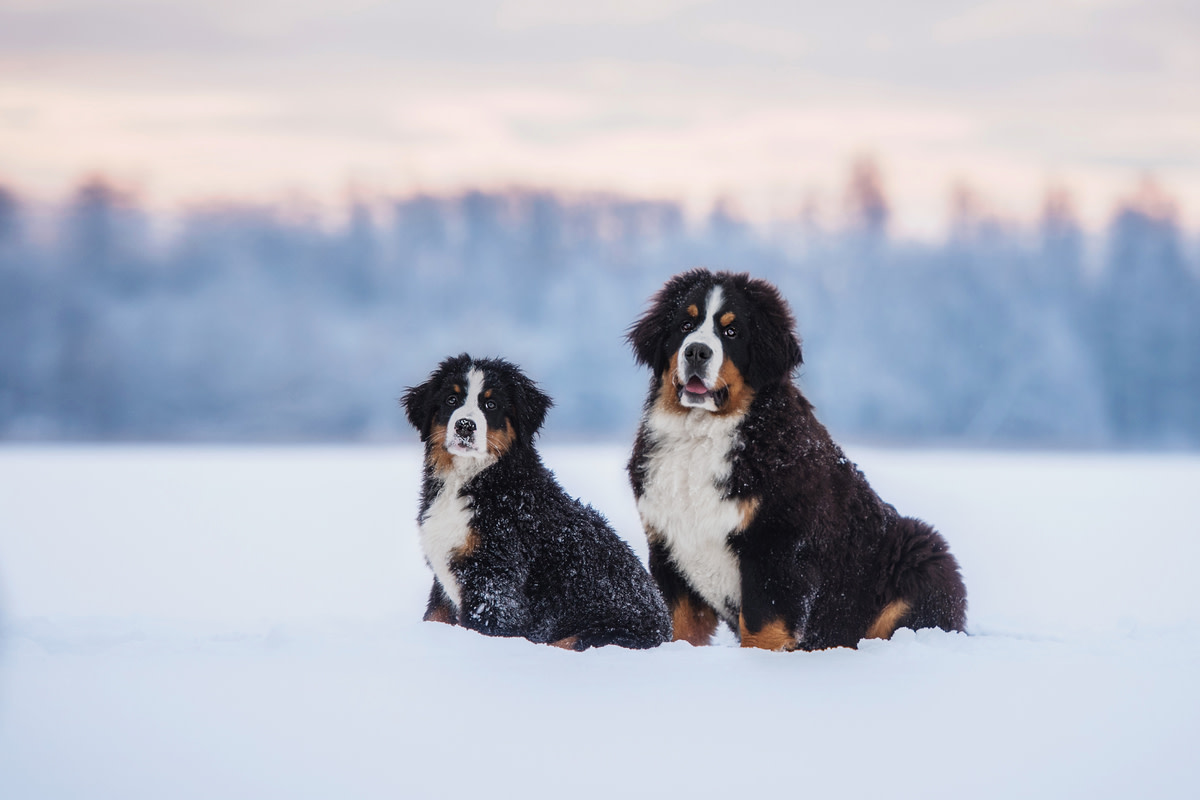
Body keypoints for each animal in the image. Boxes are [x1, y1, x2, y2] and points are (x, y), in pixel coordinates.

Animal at [405, 355, 676, 652]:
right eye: (451, 400)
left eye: (491, 404)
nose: (465, 426)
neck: (471, 479)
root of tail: (667, 632)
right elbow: (435, 615)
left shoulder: (495, 580)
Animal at [628, 268, 964, 652]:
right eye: (685, 324)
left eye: (732, 331)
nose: (697, 351)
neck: (700, 434)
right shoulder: (668, 548)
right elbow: (678, 628)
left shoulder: (776, 547)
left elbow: (761, 627)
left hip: (923, 553)